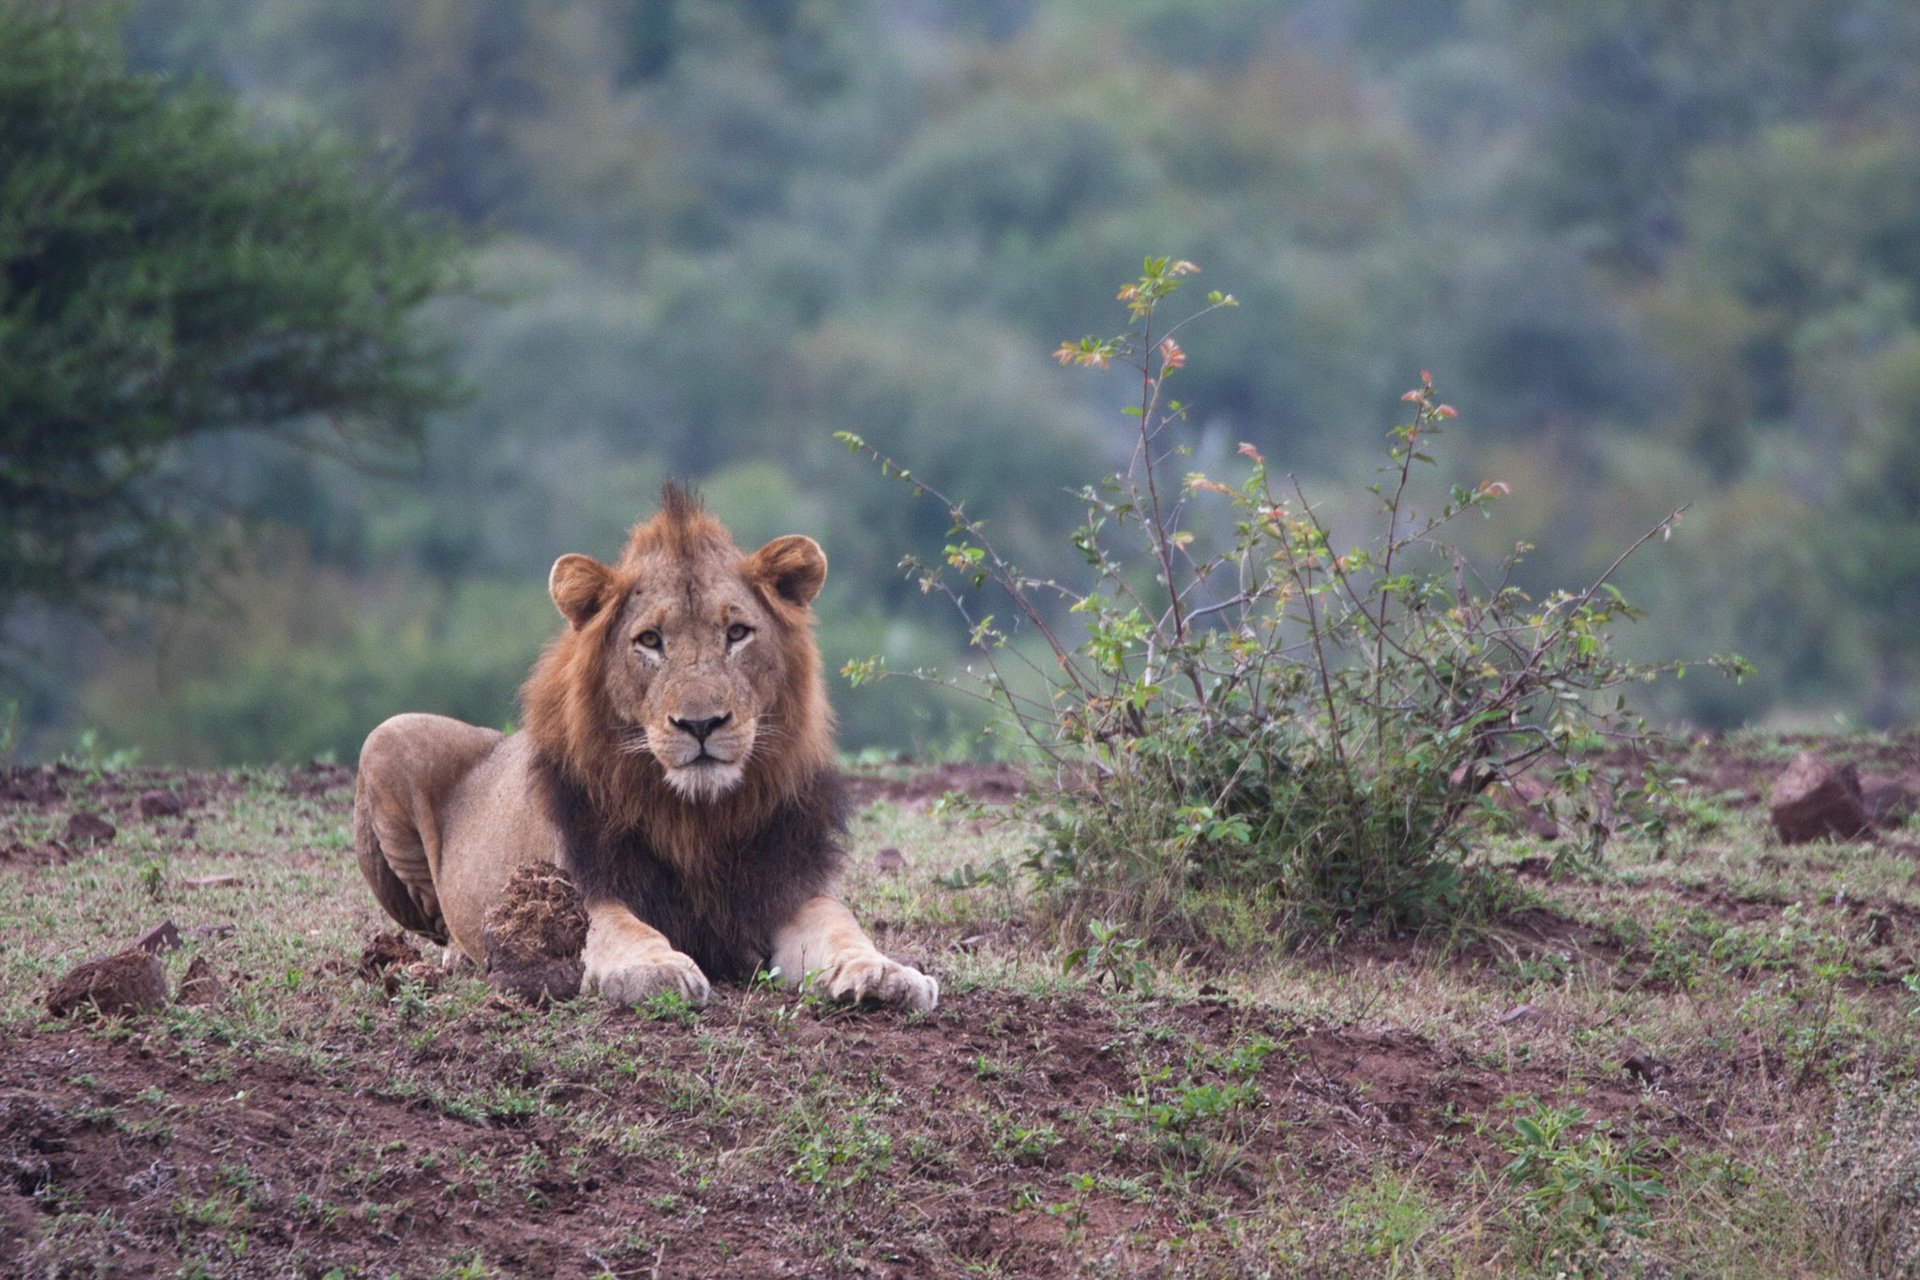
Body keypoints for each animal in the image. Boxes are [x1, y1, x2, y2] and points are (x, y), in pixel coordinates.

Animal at [352, 485, 938, 1011]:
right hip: (386, 736)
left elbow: (841, 927)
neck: (699, 820)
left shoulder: (789, 883)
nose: (700, 724)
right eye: (650, 641)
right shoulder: (585, 884)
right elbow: (620, 930)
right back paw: (458, 955)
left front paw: (884, 971)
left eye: (737, 633)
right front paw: (656, 967)